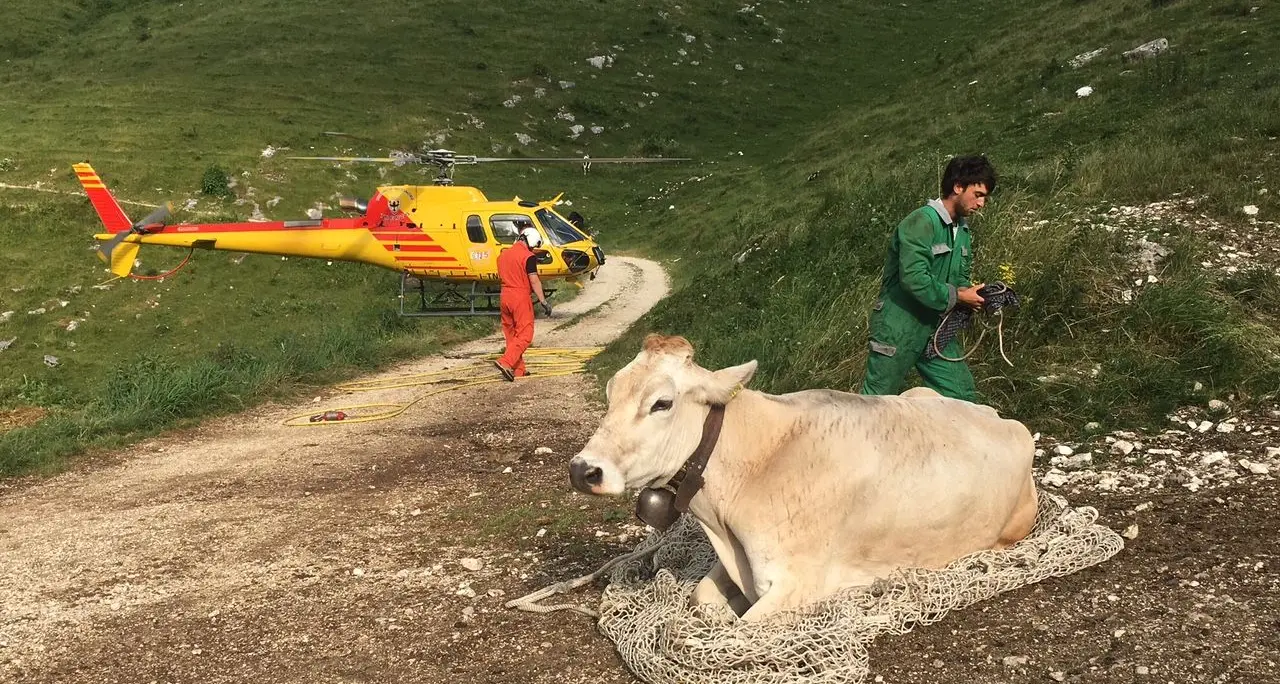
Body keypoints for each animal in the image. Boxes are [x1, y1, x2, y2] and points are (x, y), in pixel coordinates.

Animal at [568, 334, 1038, 621]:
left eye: (662, 403)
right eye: (611, 393)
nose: (582, 470)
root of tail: (1003, 417)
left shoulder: (797, 584)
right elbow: (703, 599)